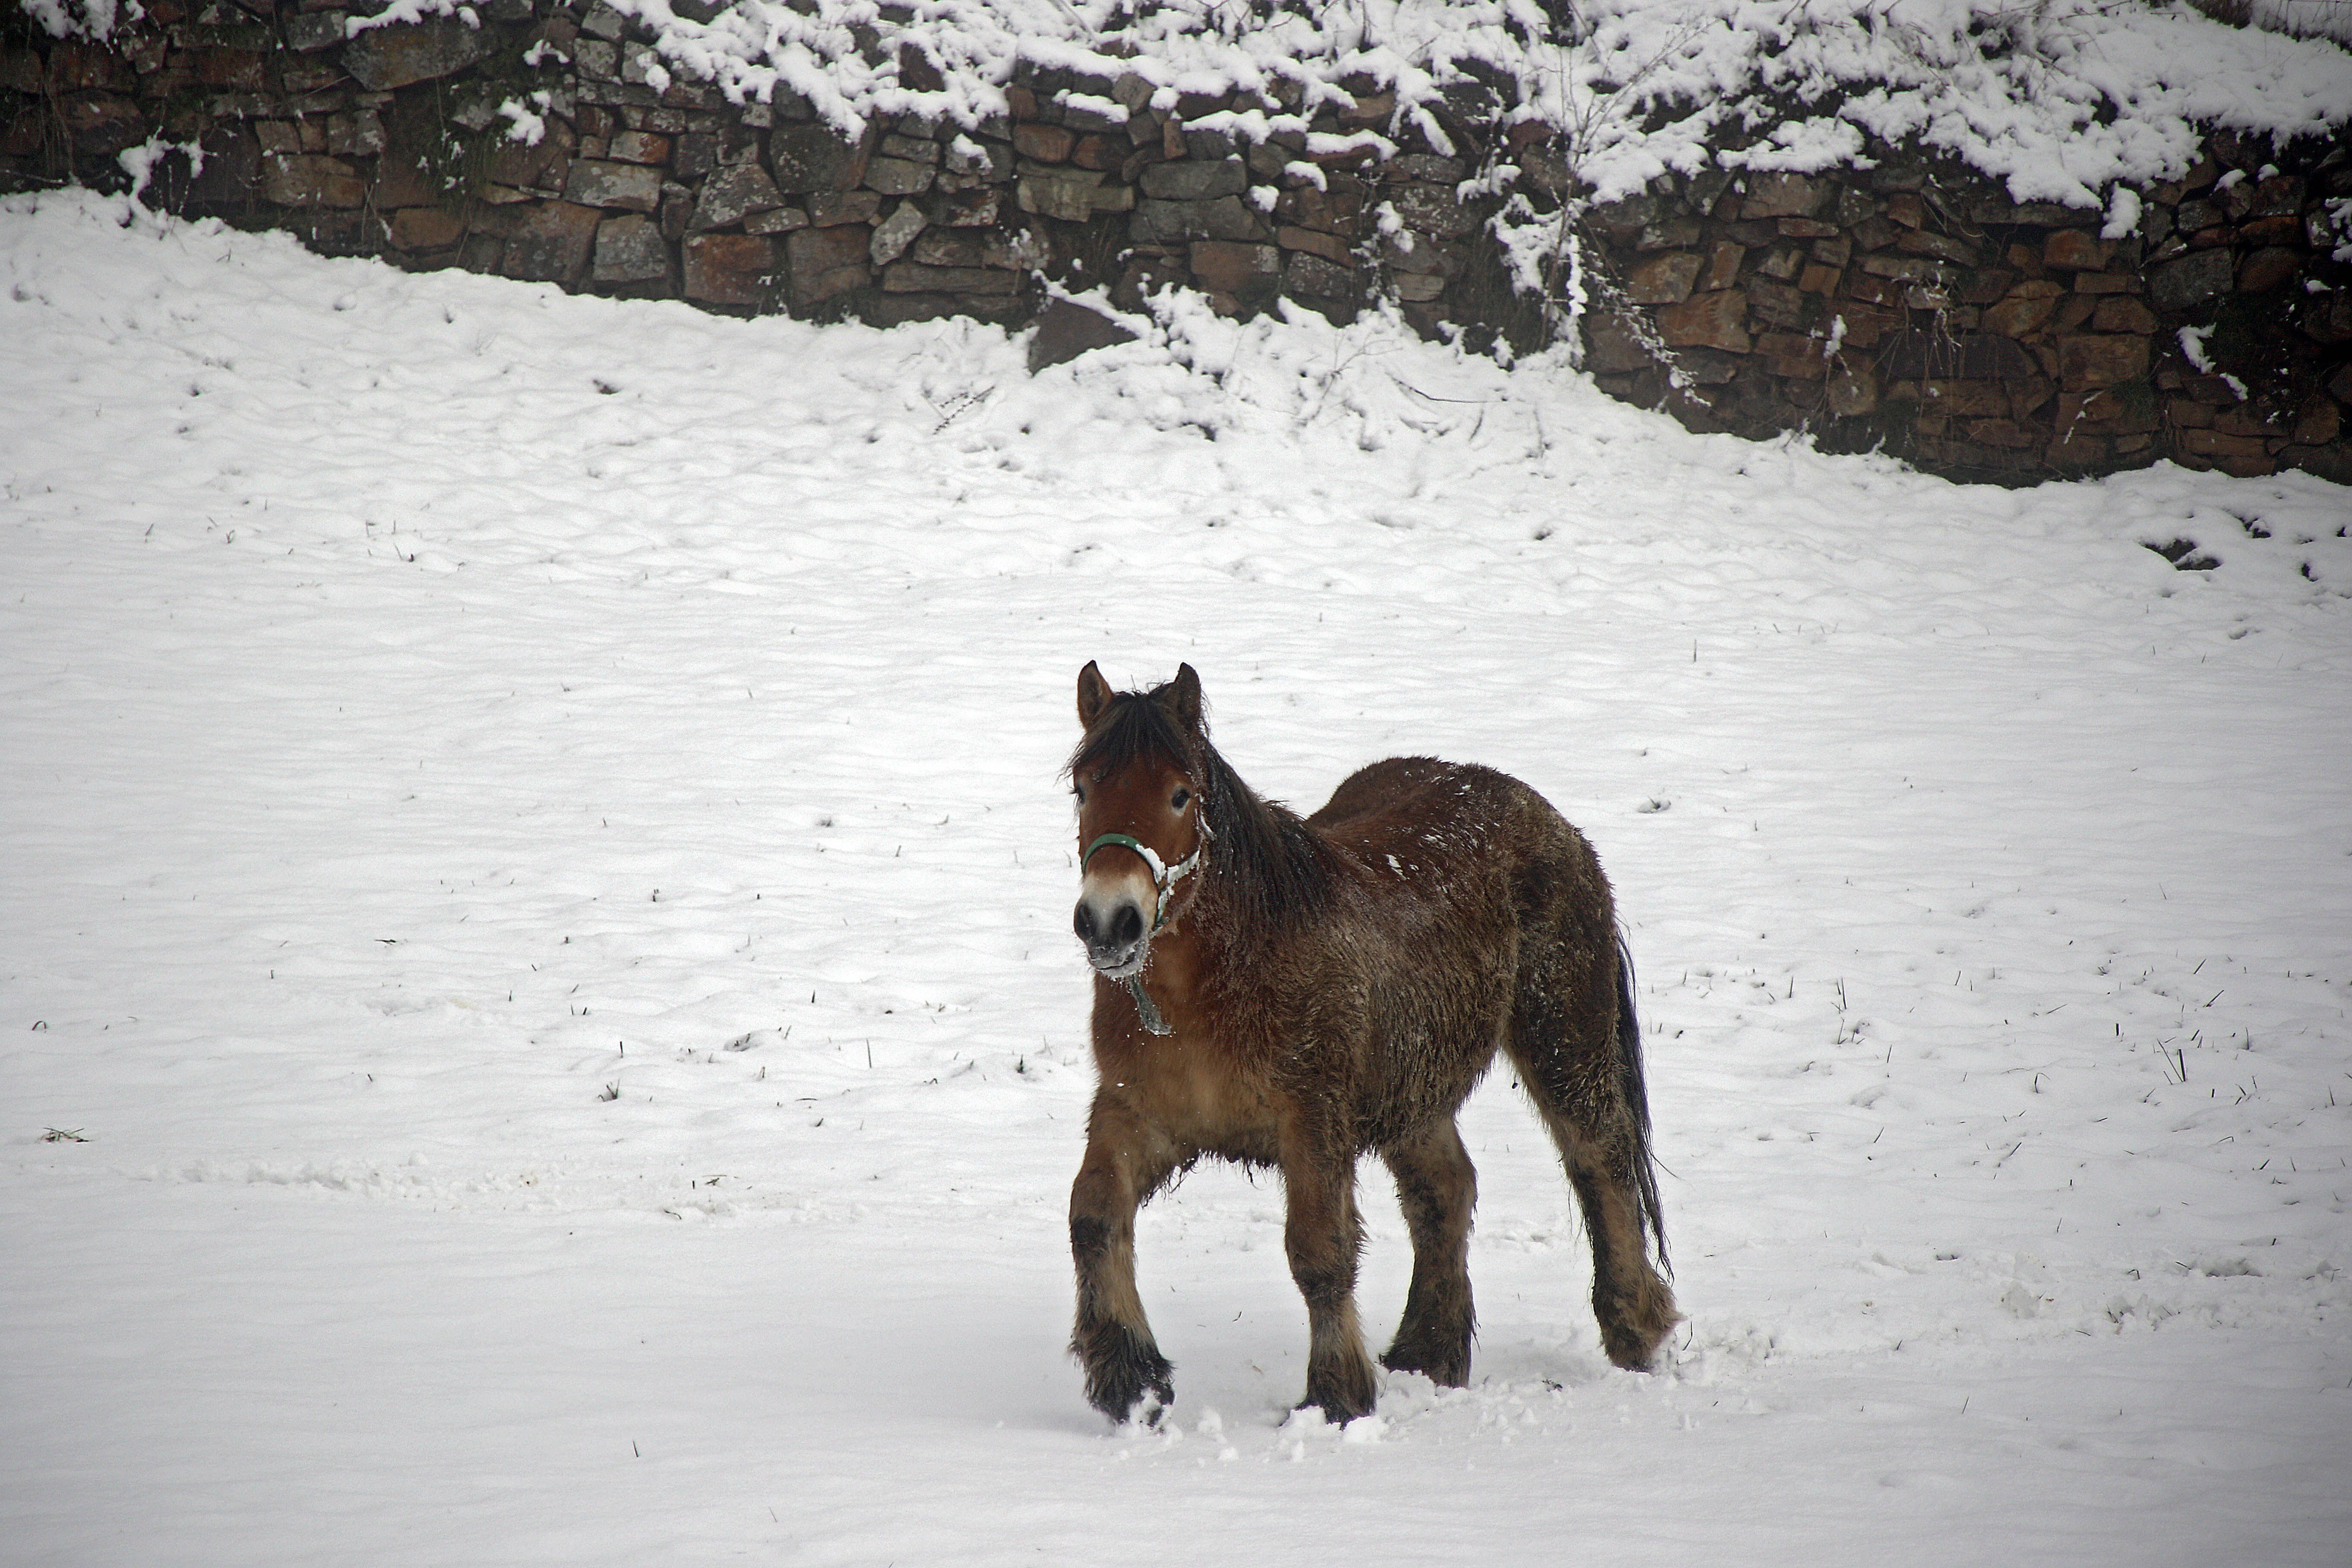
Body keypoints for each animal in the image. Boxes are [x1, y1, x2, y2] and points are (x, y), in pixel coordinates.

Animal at [1068, 663, 1675, 1420]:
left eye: (1180, 795)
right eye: (1082, 789)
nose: (1109, 922)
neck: (1216, 982)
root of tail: (1548, 817)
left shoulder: (1313, 1123)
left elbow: (1318, 1252)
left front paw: (1336, 1395)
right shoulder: (1136, 1114)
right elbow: (1093, 1215)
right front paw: (1130, 1378)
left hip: (1562, 1041)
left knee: (1601, 1160)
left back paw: (1635, 1327)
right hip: (1412, 1090)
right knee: (1446, 1188)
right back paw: (1428, 1352)